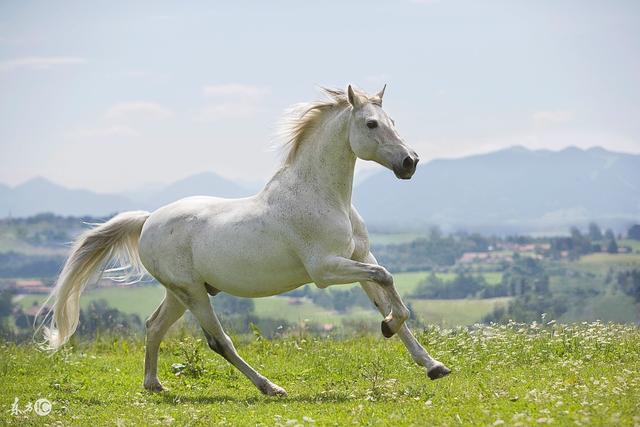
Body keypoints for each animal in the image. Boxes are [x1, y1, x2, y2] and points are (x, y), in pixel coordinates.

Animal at [42, 85, 450, 396]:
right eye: (371, 123)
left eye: (393, 122)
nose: (410, 162)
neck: (321, 195)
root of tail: (147, 221)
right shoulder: (326, 270)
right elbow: (387, 280)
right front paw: (389, 329)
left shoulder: (360, 256)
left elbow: (387, 295)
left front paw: (432, 364)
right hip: (193, 293)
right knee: (218, 341)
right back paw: (270, 387)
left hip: (179, 293)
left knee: (154, 326)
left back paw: (154, 385)